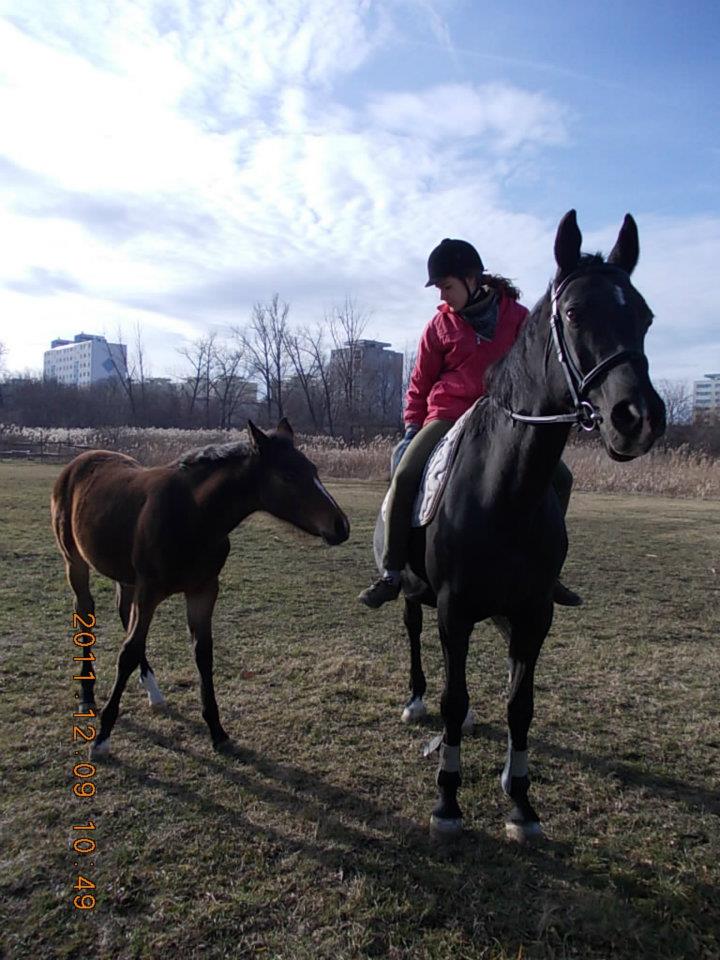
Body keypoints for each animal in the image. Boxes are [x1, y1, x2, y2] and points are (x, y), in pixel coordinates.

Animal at [51, 419, 350, 760]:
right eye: (288, 475)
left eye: (313, 469)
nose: (341, 526)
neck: (194, 516)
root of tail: (78, 461)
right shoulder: (150, 590)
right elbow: (128, 652)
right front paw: (101, 738)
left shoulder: (203, 590)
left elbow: (202, 652)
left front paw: (218, 732)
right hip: (75, 562)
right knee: (86, 611)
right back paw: (87, 695)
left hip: (126, 578)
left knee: (124, 615)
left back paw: (153, 692)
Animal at [374, 210, 666, 840]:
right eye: (575, 313)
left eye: (646, 315)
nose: (638, 418)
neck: (504, 489)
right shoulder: (454, 607)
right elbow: (454, 699)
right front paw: (448, 801)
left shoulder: (534, 611)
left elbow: (520, 703)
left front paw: (522, 803)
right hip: (416, 593)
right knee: (415, 634)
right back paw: (415, 699)